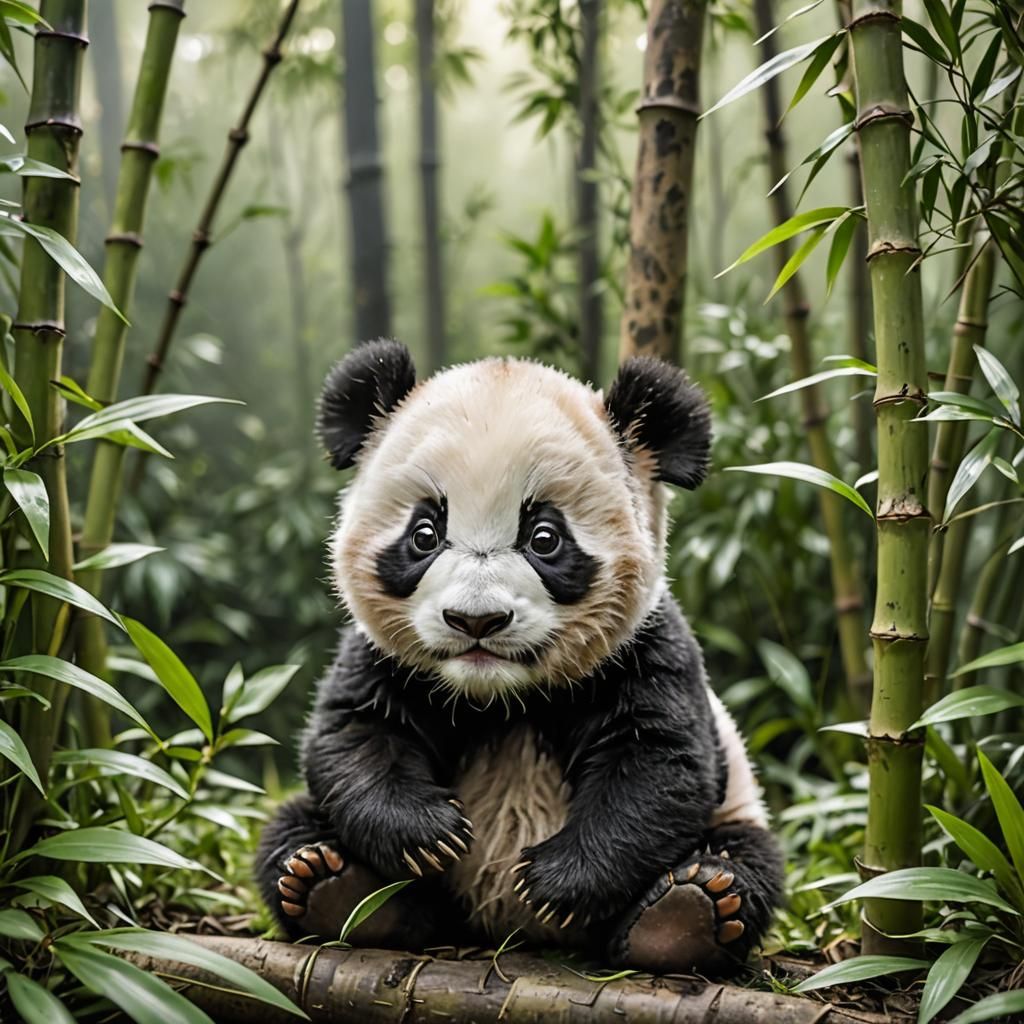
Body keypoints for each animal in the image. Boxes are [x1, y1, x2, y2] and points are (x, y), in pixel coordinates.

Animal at [256, 340, 783, 973]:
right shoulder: (382, 657)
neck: (500, 695)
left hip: (737, 808)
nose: (476, 621)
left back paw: (684, 915)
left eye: (544, 538)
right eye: (425, 534)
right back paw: (338, 890)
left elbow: (659, 763)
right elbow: (355, 734)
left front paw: (555, 881)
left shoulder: (647, 650)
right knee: (288, 830)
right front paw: (430, 835)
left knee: (747, 859)